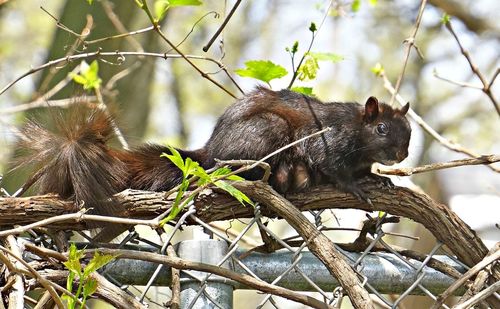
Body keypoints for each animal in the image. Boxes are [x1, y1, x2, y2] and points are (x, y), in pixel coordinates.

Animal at [18, 85, 410, 213]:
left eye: (408, 132)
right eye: (381, 128)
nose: (402, 156)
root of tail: (211, 150)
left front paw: (381, 179)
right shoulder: (327, 139)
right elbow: (333, 167)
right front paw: (356, 186)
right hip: (266, 131)